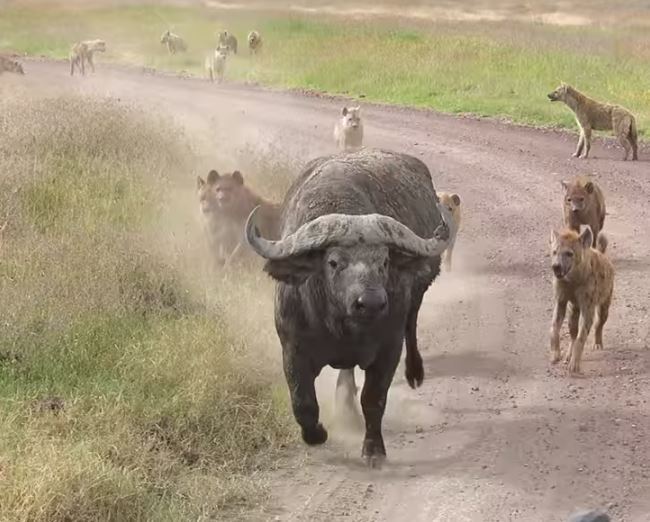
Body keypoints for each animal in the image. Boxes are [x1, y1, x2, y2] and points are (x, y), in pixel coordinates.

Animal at [246, 145, 448, 464]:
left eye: (384, 261)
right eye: (333, 262)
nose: (372, 303)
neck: (339, 326)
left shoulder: (388, 349)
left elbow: (374, 399)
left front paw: (374, 450)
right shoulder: (291, 347)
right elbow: (302, 402)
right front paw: (317, 434)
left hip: (417, 298)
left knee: (412, 326)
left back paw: (414, 373)